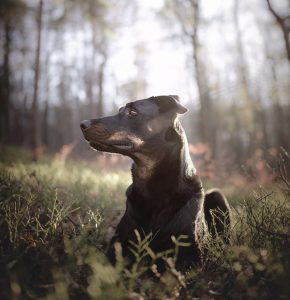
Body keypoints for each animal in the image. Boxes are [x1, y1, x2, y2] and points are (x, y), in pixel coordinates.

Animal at [80, 95, 230, 270]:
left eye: (133, 112)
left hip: (218, 195)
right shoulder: (117, 245)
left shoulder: (191, 255)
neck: (153, 190)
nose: (83, 124)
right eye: (119, 110)